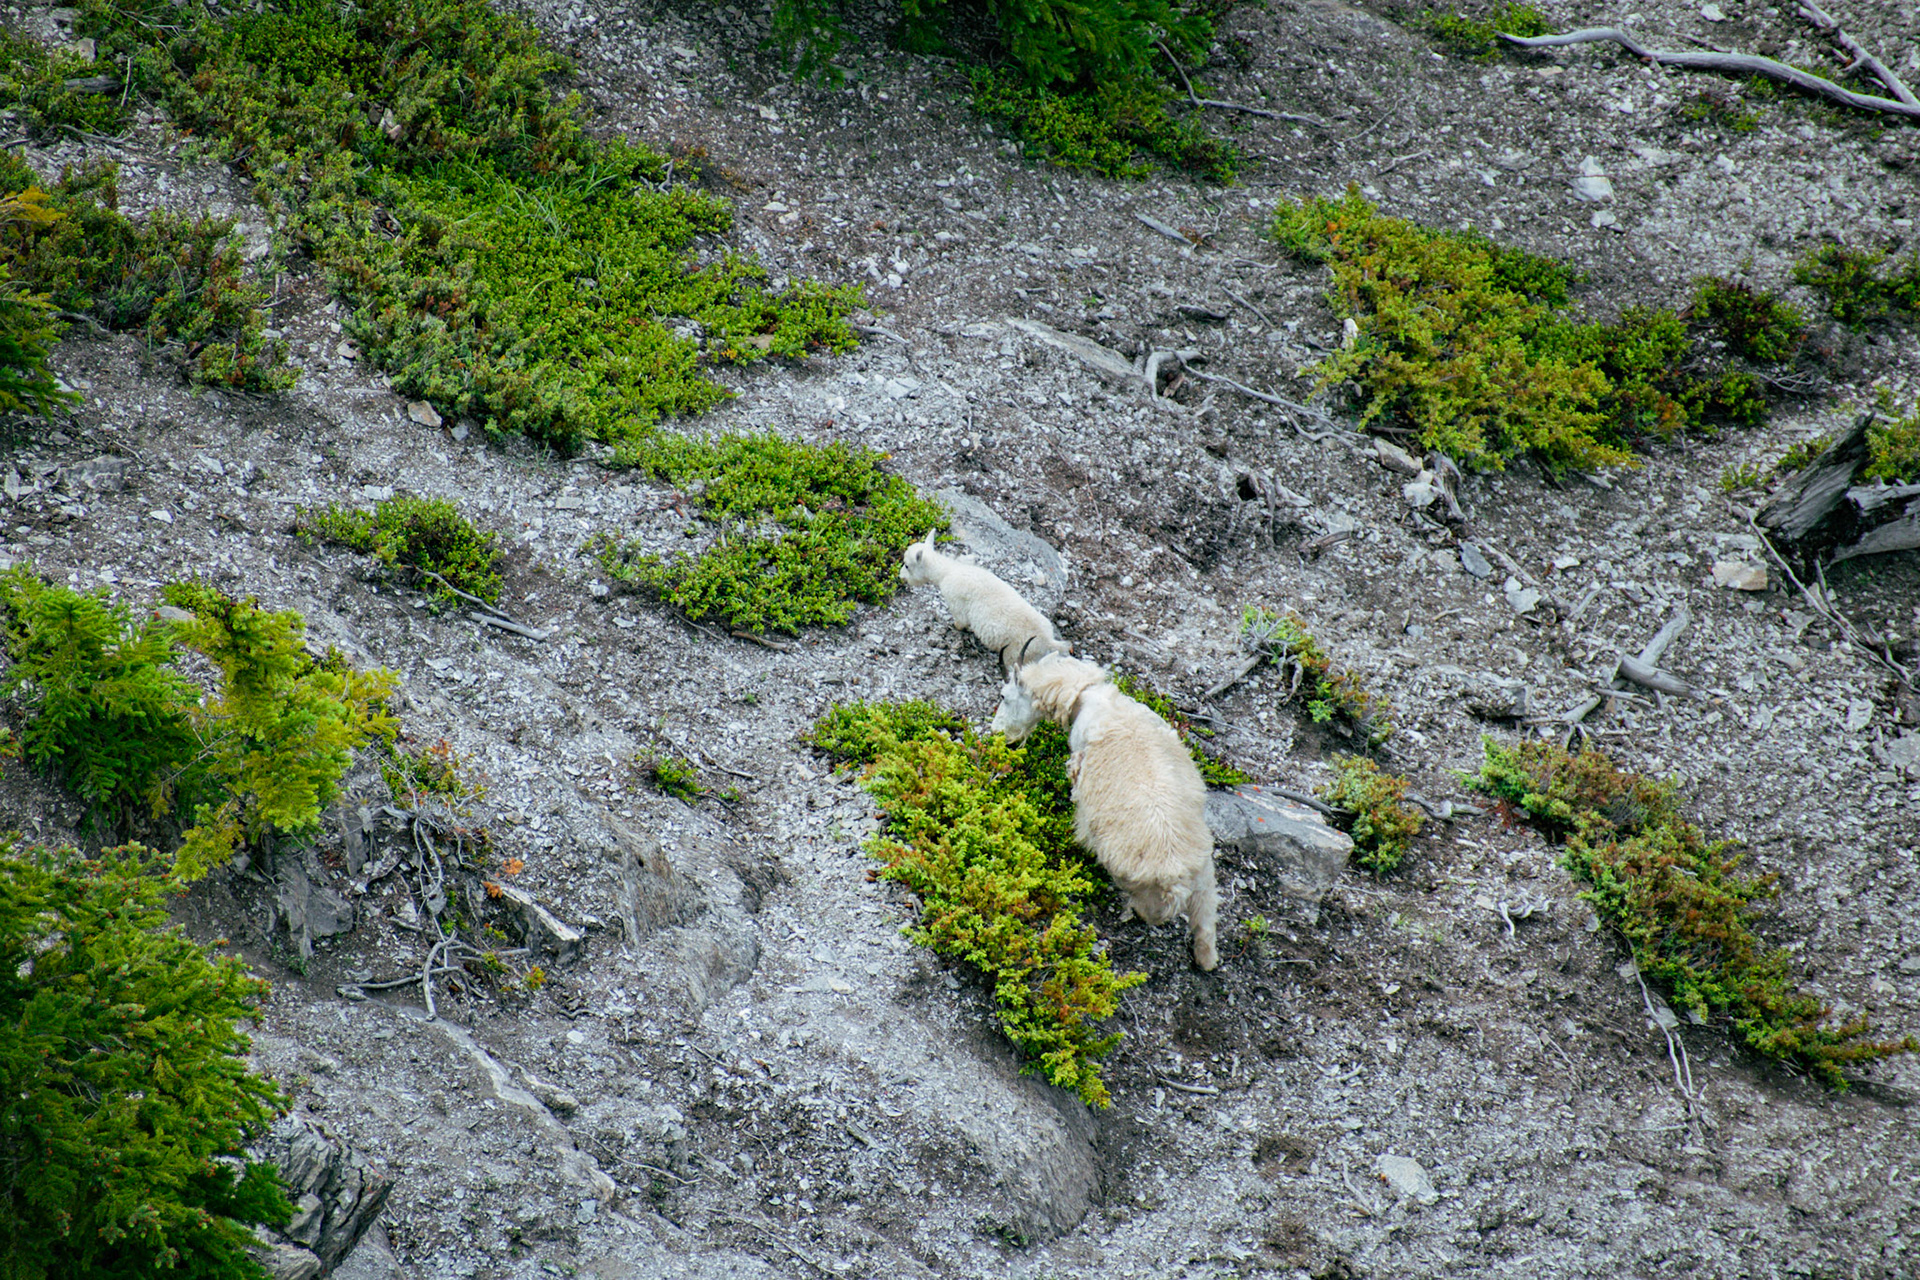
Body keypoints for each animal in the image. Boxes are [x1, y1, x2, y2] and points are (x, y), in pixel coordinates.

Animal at [899, 529, 1068, 671]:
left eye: (906, 565)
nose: (901, 577)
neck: (947, 571)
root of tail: (1047, 640)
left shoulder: (956, 602)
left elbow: (960, 621)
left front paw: (958, 627)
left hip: (1015, 653)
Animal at [990, 651, 1219, 971]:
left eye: (1004, 695)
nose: (996, 733)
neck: (1090, 698)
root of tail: (1176, 880)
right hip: (1205, 879)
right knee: (1205, 925)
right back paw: (1205, 959)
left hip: (1145, 888)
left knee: (1152, 913)